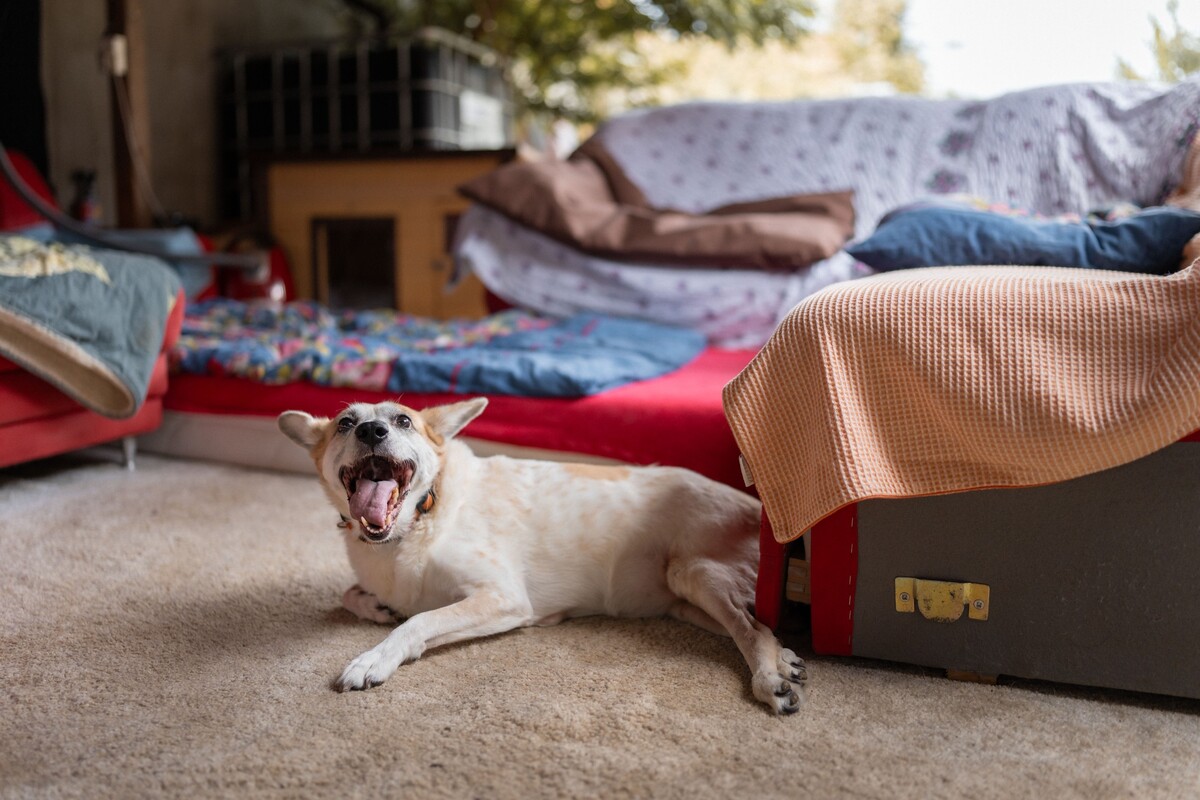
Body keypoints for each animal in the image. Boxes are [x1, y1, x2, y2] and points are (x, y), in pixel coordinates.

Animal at [278, 398, 806, 714]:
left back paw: (769, 680)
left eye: (403, 420)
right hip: (685, 602)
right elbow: (351, 594)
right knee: (760, 626)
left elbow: (418, 622)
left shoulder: (505, 598)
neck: (415, 523)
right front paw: (375, 606)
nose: (370, 431)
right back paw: (783, 661)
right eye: (346, 423)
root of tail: (763, 510)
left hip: (691, 571)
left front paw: (374, 659)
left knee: (751, 627)